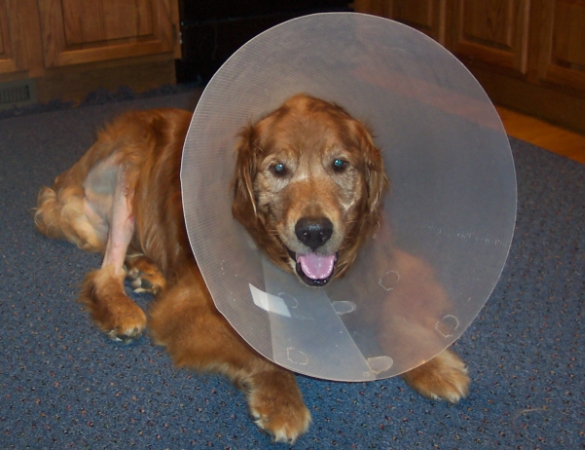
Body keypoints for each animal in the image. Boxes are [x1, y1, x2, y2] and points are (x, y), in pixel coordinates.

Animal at [34, 94, 469, 443]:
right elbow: (259, 350)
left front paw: (433, 364)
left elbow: (397, 315)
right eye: (278, 170)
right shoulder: (192, 308)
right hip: (130, 164)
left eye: (339, 164)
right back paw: (122, 309)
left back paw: (148, 271)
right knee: (104, 272)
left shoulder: (393, 269)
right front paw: (281, 401)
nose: (314, 231)